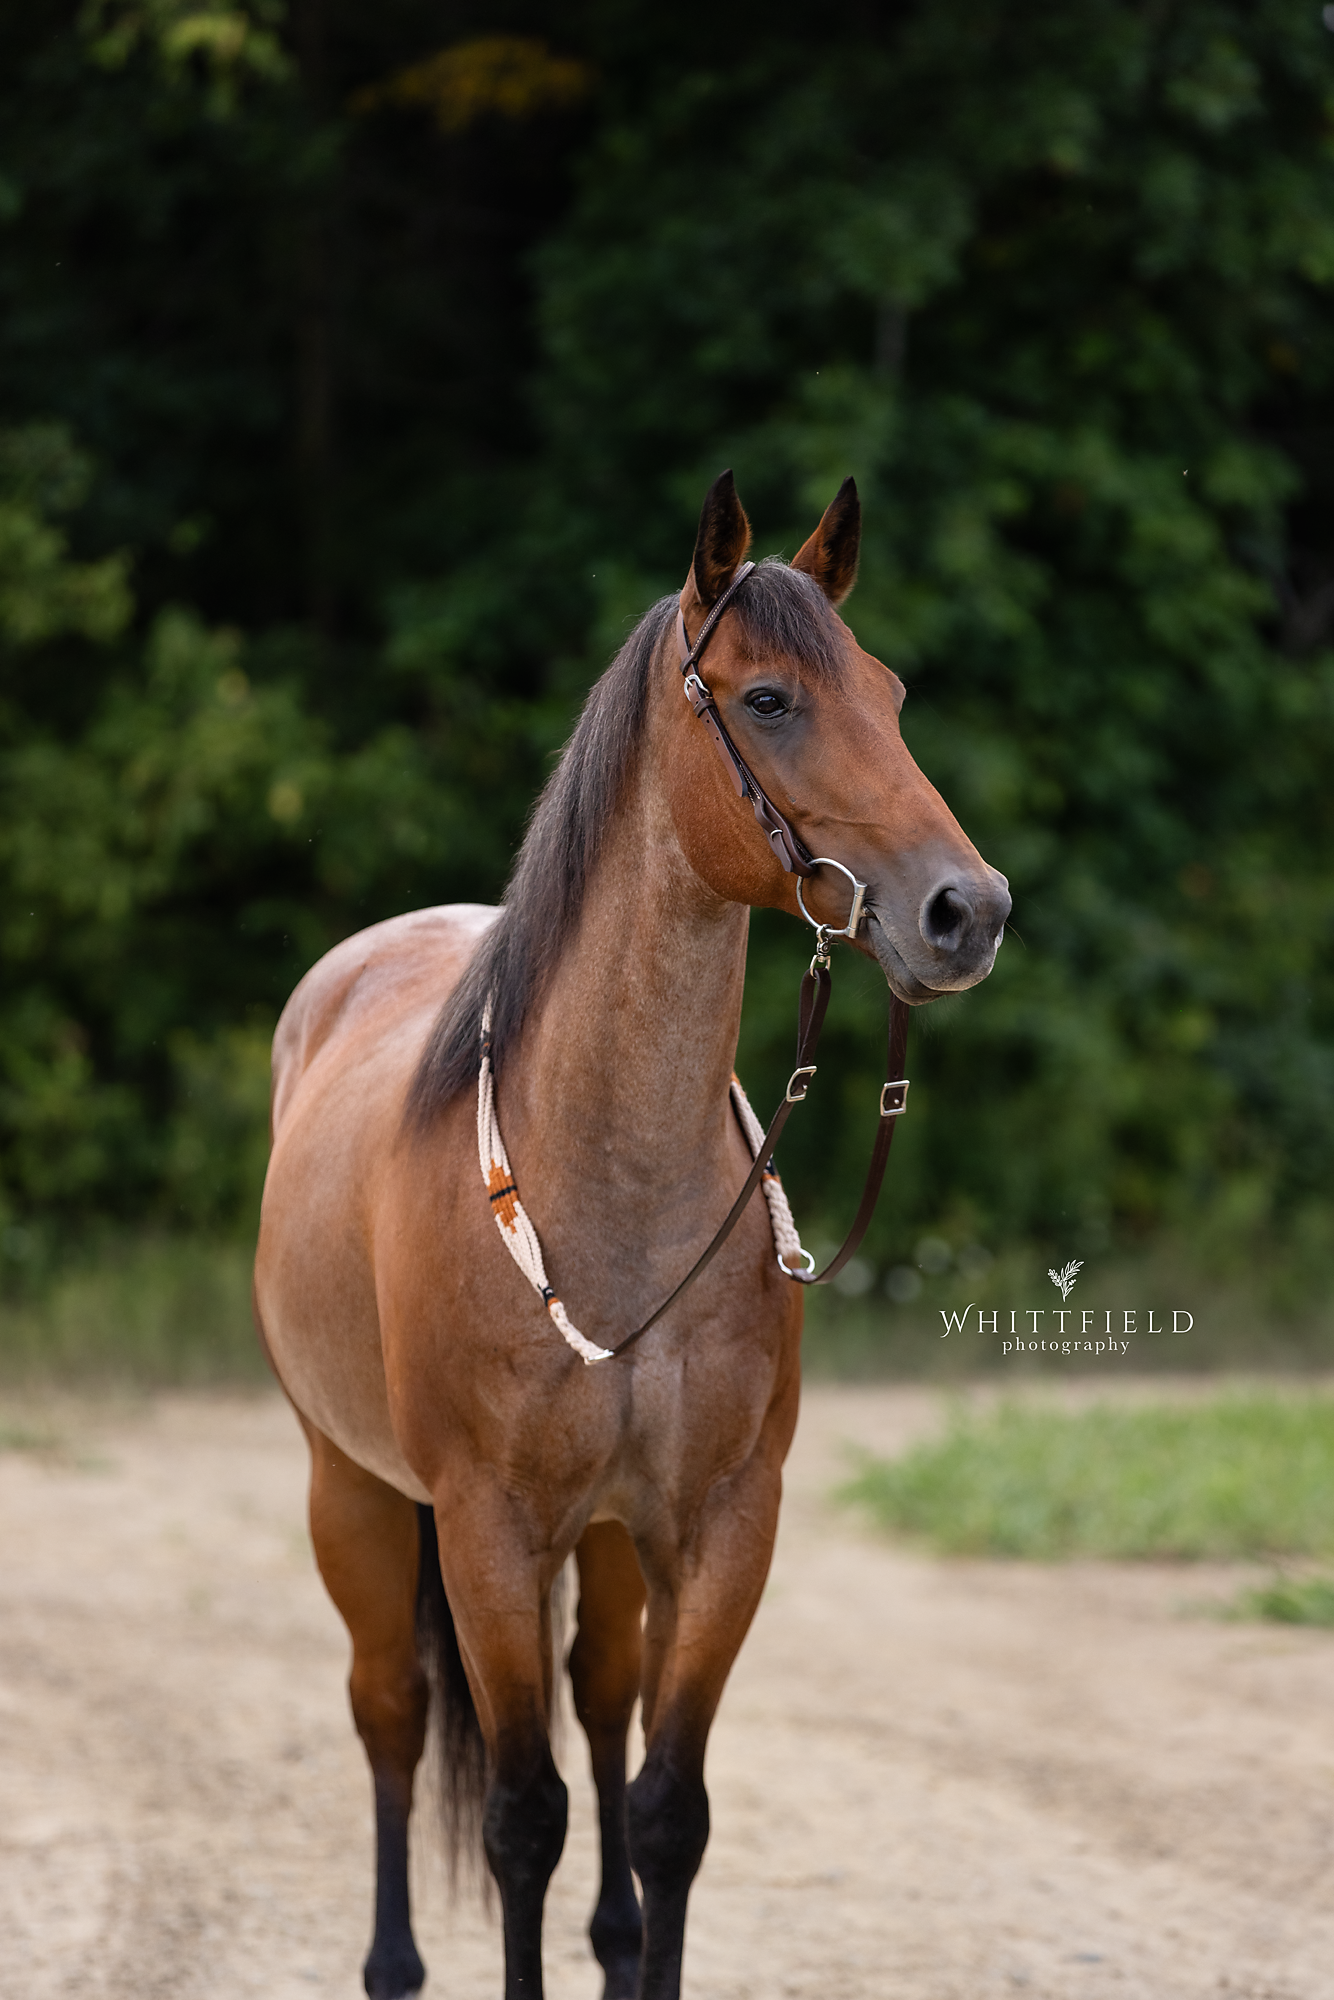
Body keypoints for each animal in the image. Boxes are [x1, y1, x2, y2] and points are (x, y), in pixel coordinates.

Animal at [253, 469, 1010, 2000]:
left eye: (891, 695)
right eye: (769, 698)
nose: (966, 912)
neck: (613, 1191)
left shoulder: (720, 1524)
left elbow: (665, 1809)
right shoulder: (487, 1536)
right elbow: (520, 1818)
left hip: (601, 1537)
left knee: (600, 1701)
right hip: (348, 1490)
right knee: (389, 1710)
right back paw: (392, 1963)